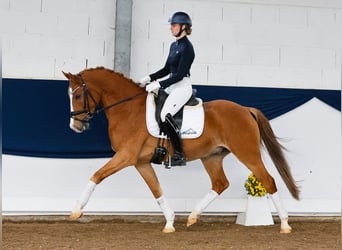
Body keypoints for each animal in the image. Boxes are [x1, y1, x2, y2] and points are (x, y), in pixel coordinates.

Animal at [62, 67, 298, 234]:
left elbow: (96, 175)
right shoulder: (140, 162)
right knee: (220, 183)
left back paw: (285, 225)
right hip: (211, 157)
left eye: (77, 96)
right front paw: (169, 222)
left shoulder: (125, 156)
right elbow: (156, 190)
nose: (75, 127)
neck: (128, 109)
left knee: (268, 181)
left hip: (247, 153)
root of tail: (245, 109)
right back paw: (193, 216)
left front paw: (76, 210)